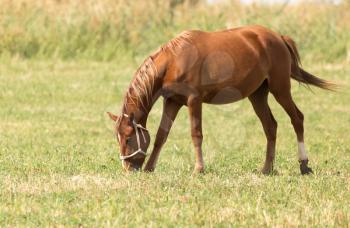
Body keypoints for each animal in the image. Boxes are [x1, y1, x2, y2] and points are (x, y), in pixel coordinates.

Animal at [106, 25, 334, 175]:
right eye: (117, 138)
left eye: (128, 138)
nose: (128, 168)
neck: (174, 60)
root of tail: (278, 37)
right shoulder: (172, 101)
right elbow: (162, 135)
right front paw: (150, 167)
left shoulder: (193, 101)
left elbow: (196, 134)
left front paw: (199, 169)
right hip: (257, 95)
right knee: (270, 126)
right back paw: (267, 169)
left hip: (281, 90)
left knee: (297, 119)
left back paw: (304, 165)